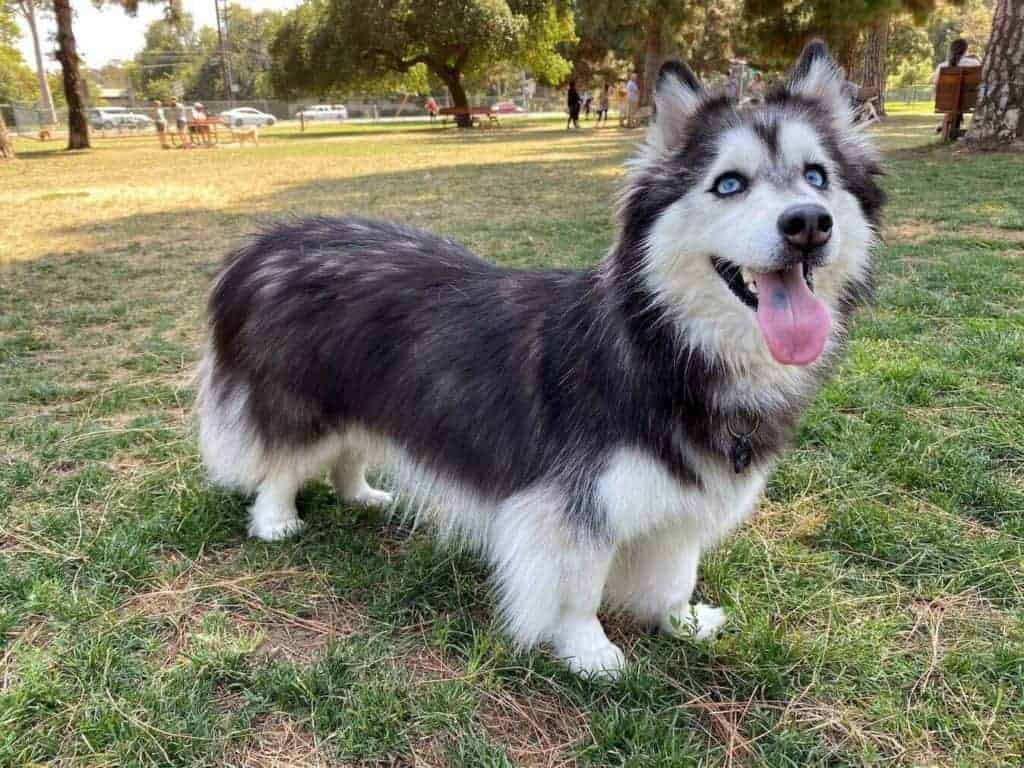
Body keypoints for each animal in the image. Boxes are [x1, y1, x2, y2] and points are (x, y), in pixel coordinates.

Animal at [197, 41, 880, 679]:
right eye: (729, 184)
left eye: (816, 176)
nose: (808, 224)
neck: (666, 346)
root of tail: (269, 241)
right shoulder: (575, 506)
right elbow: (579, 589)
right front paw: (589, 653)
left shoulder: (688, 498)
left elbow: (676, 575)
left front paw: (681, 622)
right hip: (302, 399)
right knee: (284, 461)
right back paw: (276, 520)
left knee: (348, 450)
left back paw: (363, 495)